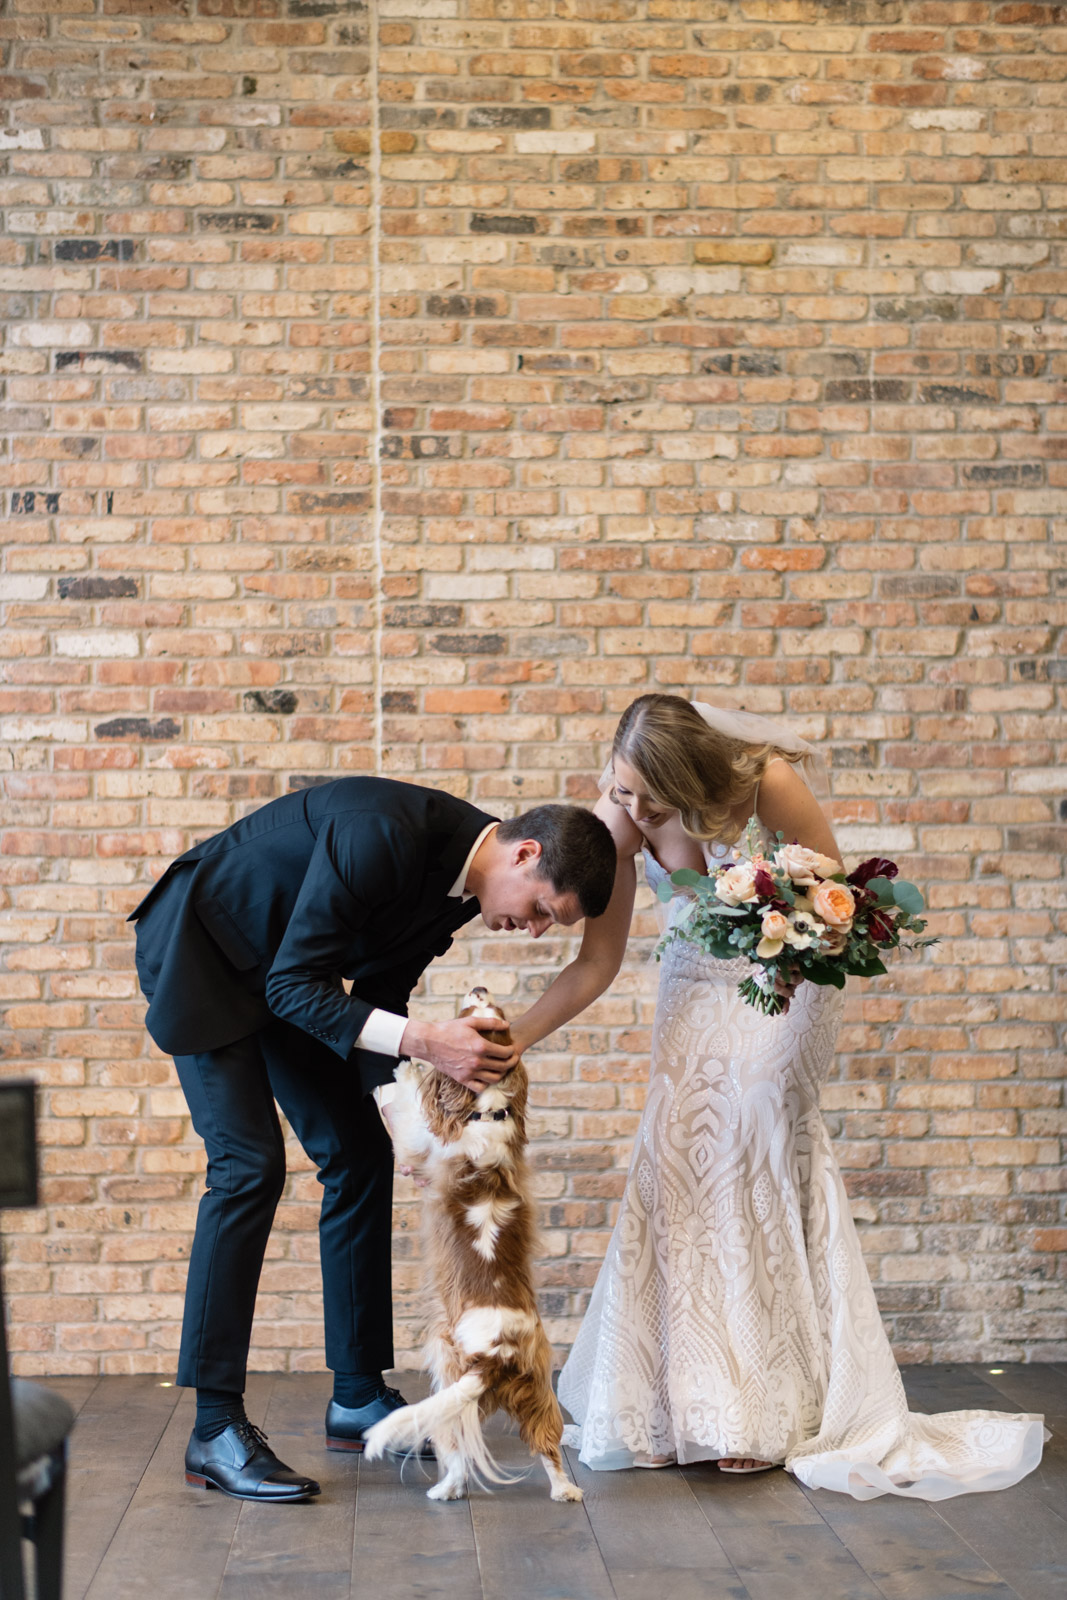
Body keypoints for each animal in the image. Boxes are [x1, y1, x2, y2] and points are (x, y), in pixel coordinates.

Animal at [364, 979, 585, 1504]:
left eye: (473, 1011)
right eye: (490, 1008)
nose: (479, 985)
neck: (487, 1109)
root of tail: (496, 1354)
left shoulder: (419, 1146)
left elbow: (411, 1114)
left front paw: (405, 1068)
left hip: (448, 1365)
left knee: (458, 1447)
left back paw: (445, 1489)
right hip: (537, 1390)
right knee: (546, 1444)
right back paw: (565, 1490)